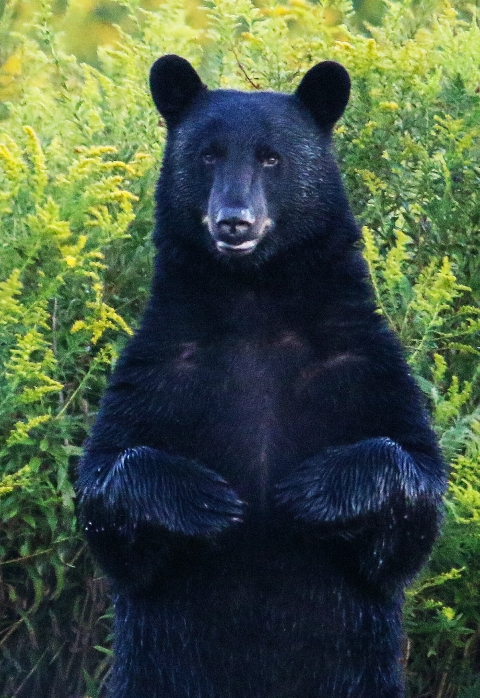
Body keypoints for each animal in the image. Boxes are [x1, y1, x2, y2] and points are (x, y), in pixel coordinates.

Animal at [77, 55, 446, 698]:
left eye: (271, 158)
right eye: (207, 155)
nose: (234, 222)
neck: (254, 304)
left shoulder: (359, 361)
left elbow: (412, 490)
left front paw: (314, 489)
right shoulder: (161, 365)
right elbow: (108, 490)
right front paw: (204, 499)